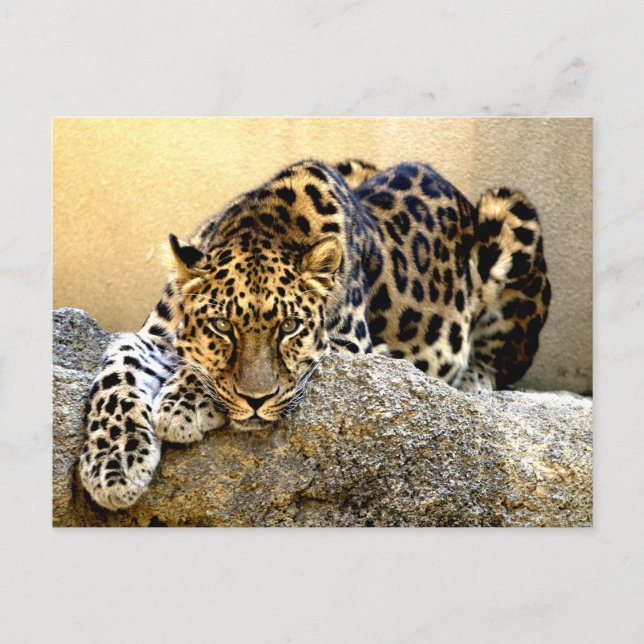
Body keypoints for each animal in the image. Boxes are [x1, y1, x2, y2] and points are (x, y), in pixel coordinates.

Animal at [78, 158, 550, 510]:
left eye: (289, 327)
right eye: (222, 326)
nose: (256, 401)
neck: (263, 224)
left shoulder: (351, 347)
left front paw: (181, 405)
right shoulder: (156, 337)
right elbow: (118, 363)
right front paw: (113, 465)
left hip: (511, 209)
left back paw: (472, 380)